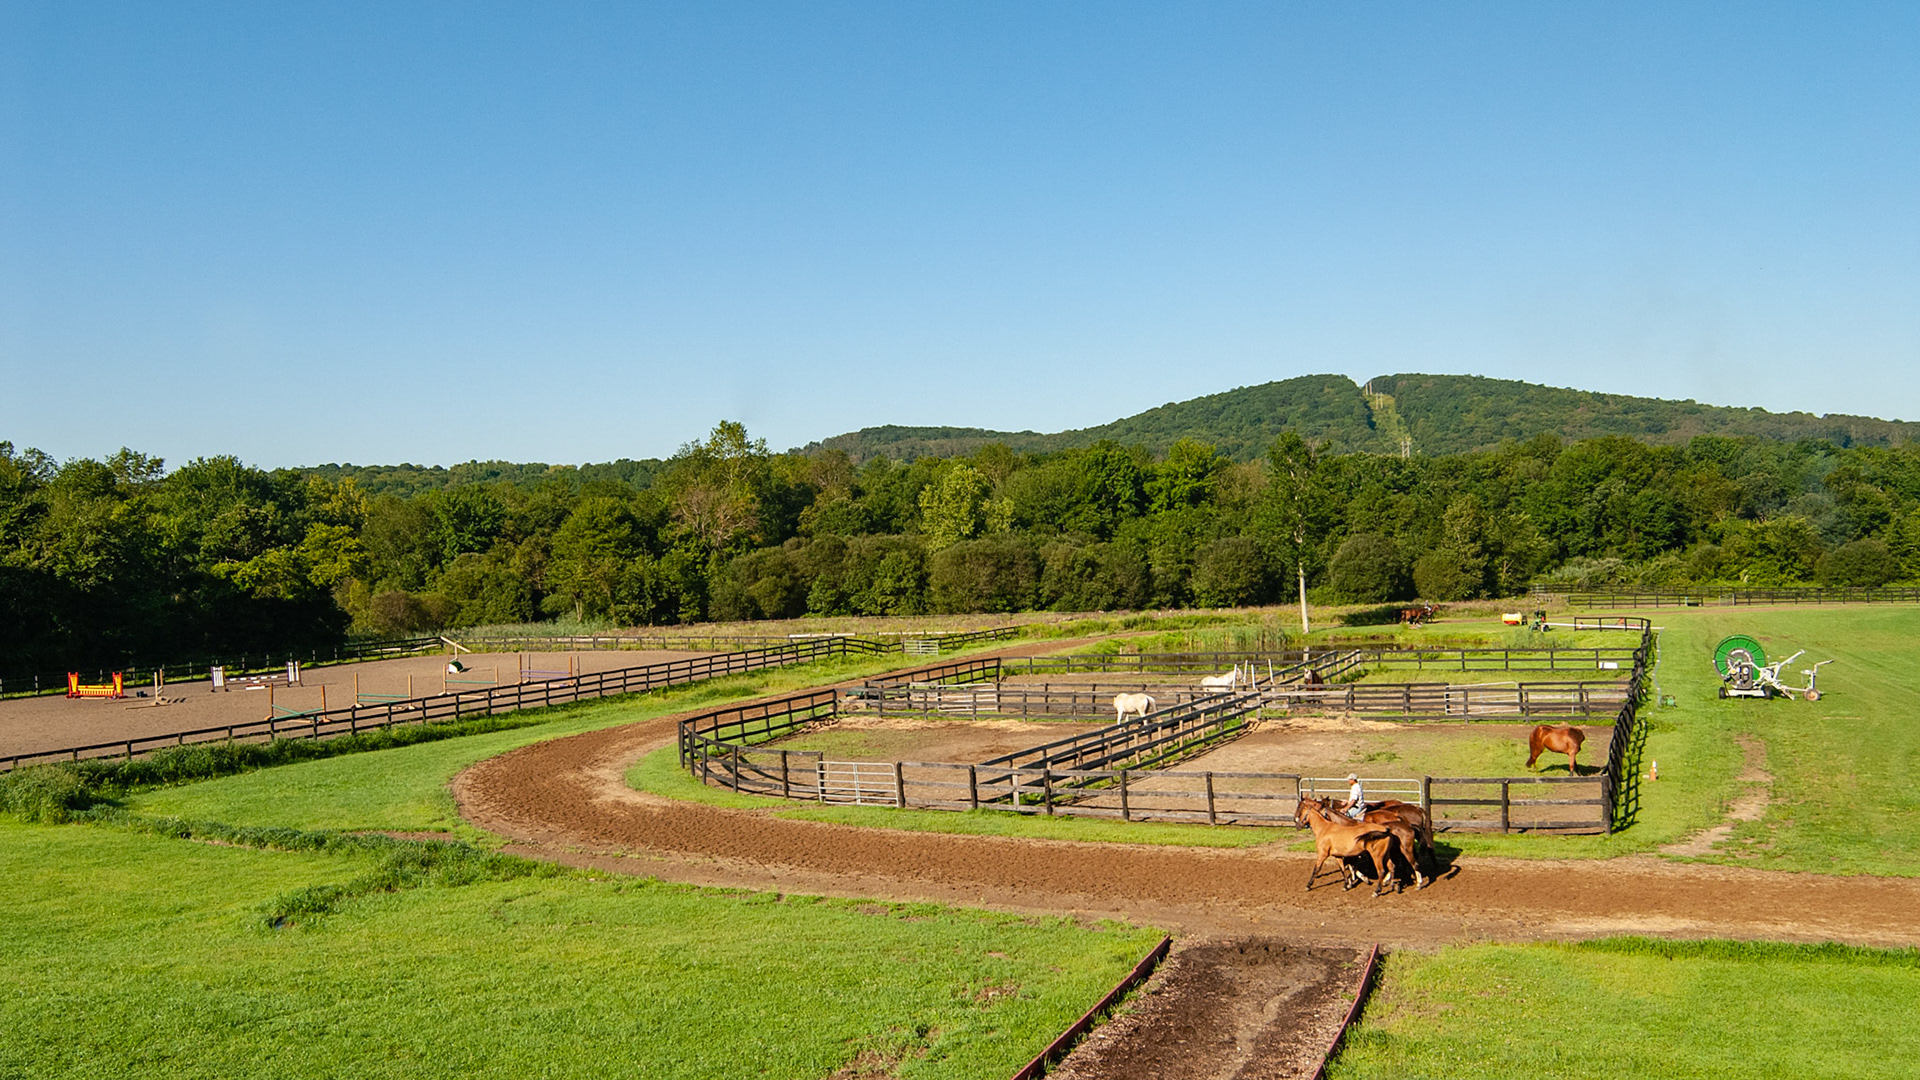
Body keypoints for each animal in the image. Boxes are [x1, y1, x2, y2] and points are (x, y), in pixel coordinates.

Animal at [1293, 798, 1421, 896]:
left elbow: (1317, 869)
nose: (1296, 824)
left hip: (1381, 855)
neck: (1325, 828)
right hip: (1387, 854)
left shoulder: (1323, 854)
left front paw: (1308, 885)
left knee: (1386, 870)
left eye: (1300, 809)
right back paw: (1392, 885)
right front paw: (1347, 884)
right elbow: (1344, 869)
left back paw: (1380, 890)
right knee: (1392, 866)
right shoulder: (1339, 855)